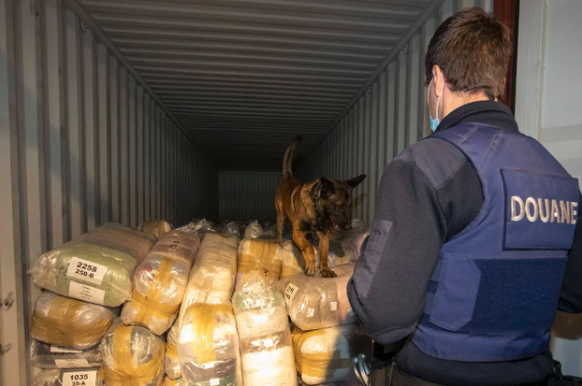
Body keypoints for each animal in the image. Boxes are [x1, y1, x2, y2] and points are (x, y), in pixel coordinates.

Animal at [278, 137, 368, 276]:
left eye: (349, 206)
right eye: (339, 206)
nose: (349, 227)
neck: (319, 212)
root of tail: (289, 178)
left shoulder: (323, 236)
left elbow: (323, 254)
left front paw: (325, 269)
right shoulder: (297, 232)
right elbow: (309, 247)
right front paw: (311, 264)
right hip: (281, 216)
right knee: (280, 233)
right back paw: (280, 245)